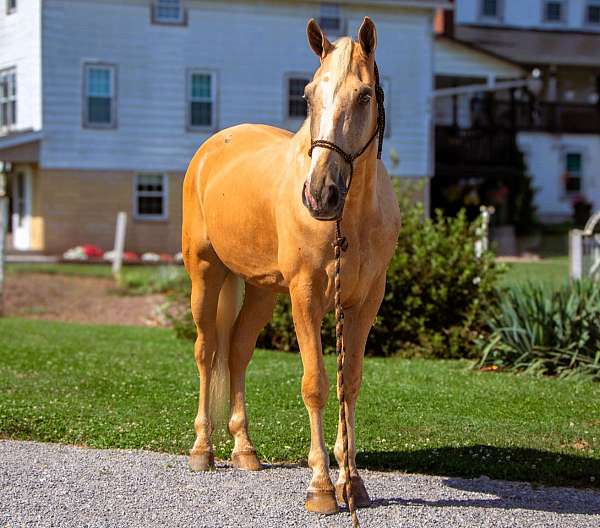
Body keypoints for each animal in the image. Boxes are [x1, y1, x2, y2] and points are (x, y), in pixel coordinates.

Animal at [180, 17, 400, 516]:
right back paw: (203, 450)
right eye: (308, 95)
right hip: (205, 274)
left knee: (237, 351)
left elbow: (349, 383)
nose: (320, 194)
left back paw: (244, 450)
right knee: (207, 351)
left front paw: (353, 483)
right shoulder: (306, 297)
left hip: (262, 290)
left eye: (364, 96)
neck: (352, 218)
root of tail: (209, 150)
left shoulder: (364, 303)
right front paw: (321, 487)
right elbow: (316, 384)